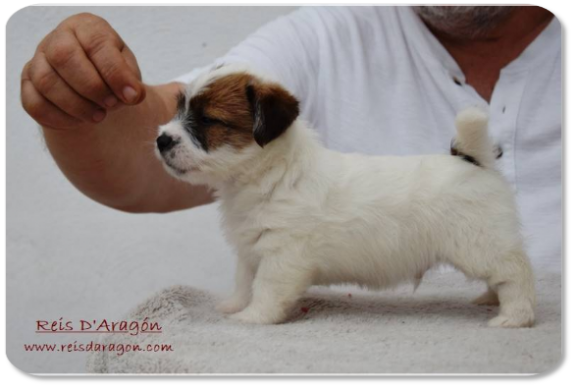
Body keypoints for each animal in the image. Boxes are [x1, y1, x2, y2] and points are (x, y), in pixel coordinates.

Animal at [155, 64, 532, 326]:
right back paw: (489, 298)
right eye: (179, 111)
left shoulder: (282, 254)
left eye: (208, 120)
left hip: (481, 244)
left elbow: (266, 288)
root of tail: (473, 159)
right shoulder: (251, 250)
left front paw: (252, 317)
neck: (271, 174)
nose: (161, 139)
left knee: (516, 274)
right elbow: (244, 280)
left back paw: (514, 317)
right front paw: (234, 305)